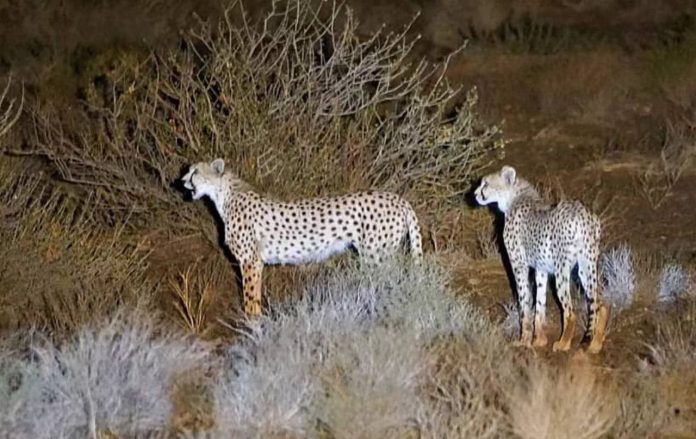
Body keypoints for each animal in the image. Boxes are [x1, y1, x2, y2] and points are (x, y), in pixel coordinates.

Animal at [180, 158, 423, 317]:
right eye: (189, 171)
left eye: (195, 172)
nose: (182, 181)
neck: (224, 195)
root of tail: (398, 198)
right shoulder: (255, 262)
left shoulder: (250, 261)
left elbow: (250, 300)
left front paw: (251, 329)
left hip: (376, 257)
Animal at [475, 165, 609, 353]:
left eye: (486, 184)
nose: (475, 194)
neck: (513, 196)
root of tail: (582, 213)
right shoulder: (541, 269)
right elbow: (539, 304)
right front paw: (539, 340)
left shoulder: (519, 265)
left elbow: (525, 304)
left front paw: (524, 341)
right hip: (586, 267)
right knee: (599, 305)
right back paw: (595, 344)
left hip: (562, 270)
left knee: (570, 312)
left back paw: (563, 344)